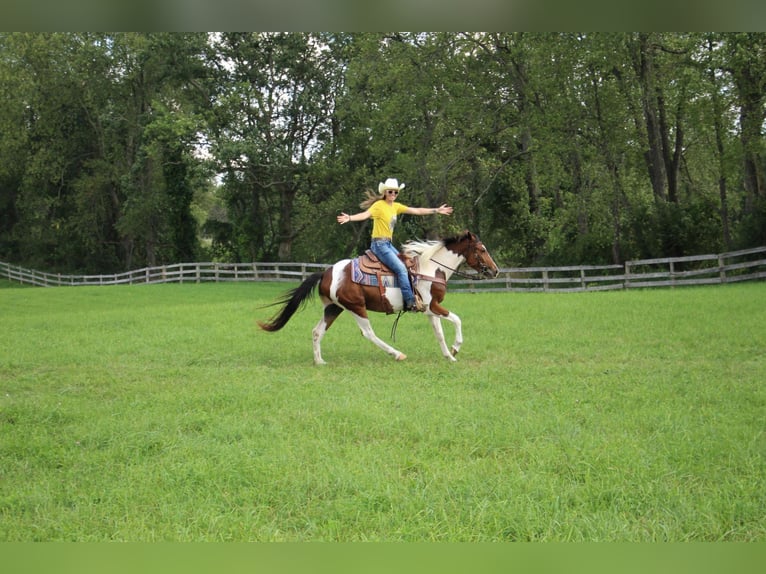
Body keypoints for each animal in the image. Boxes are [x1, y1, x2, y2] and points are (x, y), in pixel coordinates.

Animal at [258, 231, 500, 362]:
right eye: (482, 249)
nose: (495, 270)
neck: (430, 269)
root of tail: (326, 272)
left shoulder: (430, 310)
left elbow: (439, 334)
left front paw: (449, 356)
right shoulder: (433, 306)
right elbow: (457, 320)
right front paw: (456, 347)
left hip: (334, 308)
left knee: (317, 331)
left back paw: (319, 361)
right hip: (356, 307)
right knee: (368, 333)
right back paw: (397, 354)